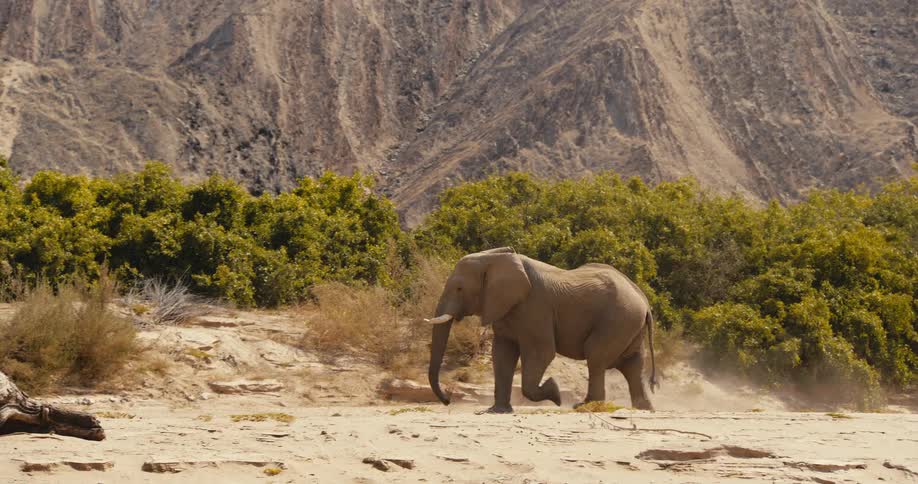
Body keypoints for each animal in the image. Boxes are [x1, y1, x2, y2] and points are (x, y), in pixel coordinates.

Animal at [425, 247, 658, 413]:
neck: (493, 259)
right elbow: (502, 353)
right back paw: (643, 409)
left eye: (459, 288)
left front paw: (555, 393)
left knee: (597, 356)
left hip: (619, 319)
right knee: (632, 365)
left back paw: (586, 406)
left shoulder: (535, 308)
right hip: (629, 324)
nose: (447, 401)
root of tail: (644, 301)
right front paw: (497, 410)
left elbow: (542, 352)